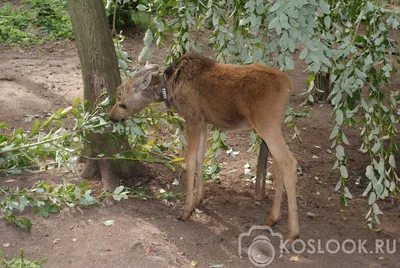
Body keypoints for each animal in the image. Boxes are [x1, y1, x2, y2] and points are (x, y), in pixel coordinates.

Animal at [108, 52, 298, 241]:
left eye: (121, 100)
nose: (111, 116)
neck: (168, 88)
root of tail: (288, 85)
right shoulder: (204, 121)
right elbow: (201, 157)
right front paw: (198, 198)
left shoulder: (192, 118)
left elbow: (189, 161)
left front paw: (186, 210)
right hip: (273, 124)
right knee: (278, 163)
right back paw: (272, 218)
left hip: (265, 122)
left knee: (289, 161)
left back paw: (292, 233)